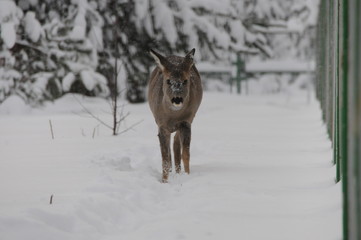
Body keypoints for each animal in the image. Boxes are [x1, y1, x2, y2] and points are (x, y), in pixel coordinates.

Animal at [147, 49, 202, 184]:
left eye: (185, 81)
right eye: (168, 81)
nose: (177, 99)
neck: (172, 115)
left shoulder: (186, 122)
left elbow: (186, 154)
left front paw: (187, 175)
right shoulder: (161, 125)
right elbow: (165, 157)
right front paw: (164, 181)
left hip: (188, 120)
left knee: (176, 144)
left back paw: (178, 172)